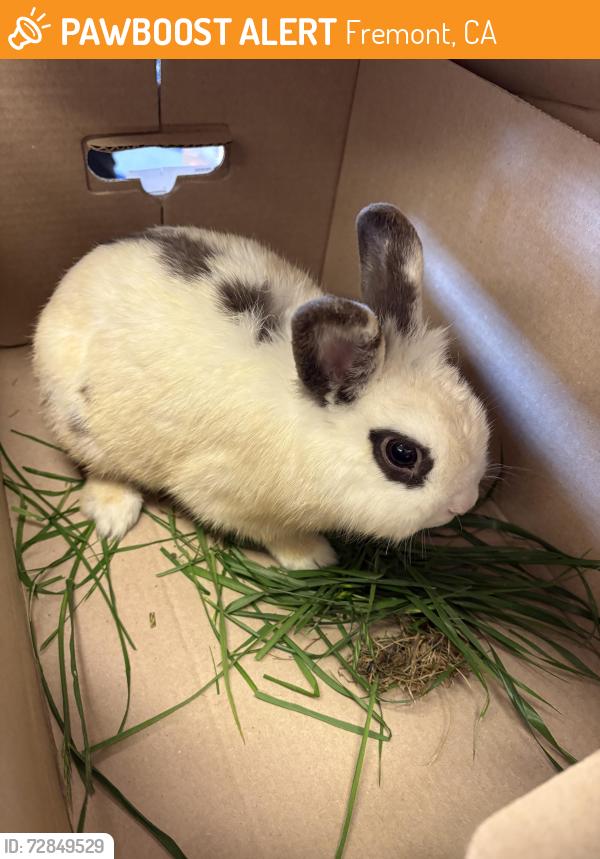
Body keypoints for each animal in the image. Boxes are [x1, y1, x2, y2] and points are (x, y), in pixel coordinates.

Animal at [33, 203, 489, 570]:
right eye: (401, 453)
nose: (464, 502)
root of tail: (69, 282)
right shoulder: (224, 496)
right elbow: (275, 533)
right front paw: (314, 558)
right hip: (84, 425)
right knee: (101, 468)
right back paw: (114, 515)